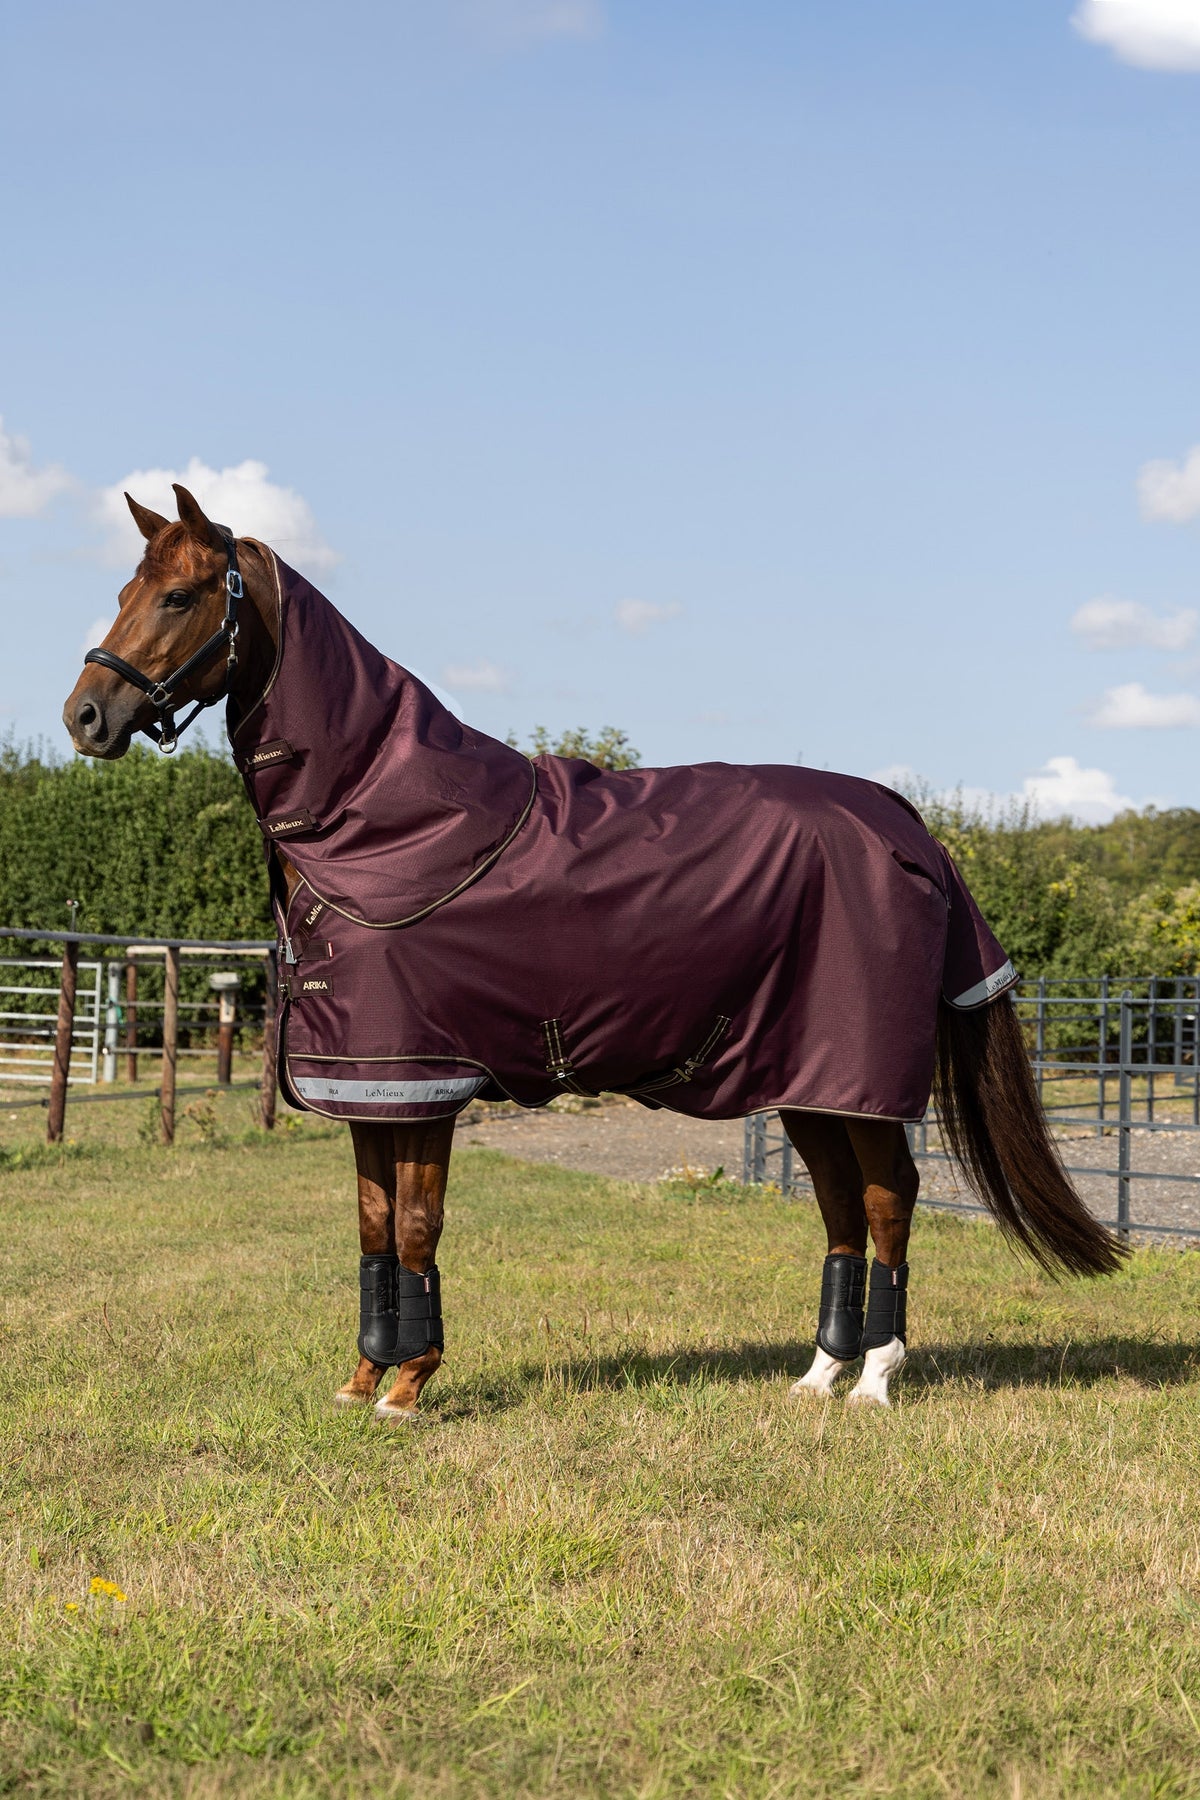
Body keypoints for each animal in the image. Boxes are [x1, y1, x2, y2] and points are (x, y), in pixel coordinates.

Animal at [62, 486, 1124, 1419]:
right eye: (121, 588)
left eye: (181, 595)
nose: (85, 716)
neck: (384, 825)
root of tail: (908, 823)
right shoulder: (367, 1081)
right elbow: (373, 1230)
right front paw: (363, 1380)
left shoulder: (426, 1079)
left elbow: (417, 1226)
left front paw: (411, 1388)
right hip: (809, 1079)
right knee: (840, 1205)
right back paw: (819, 1374)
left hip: (858, 1078)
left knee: (890, 1195)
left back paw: (875, 1380)